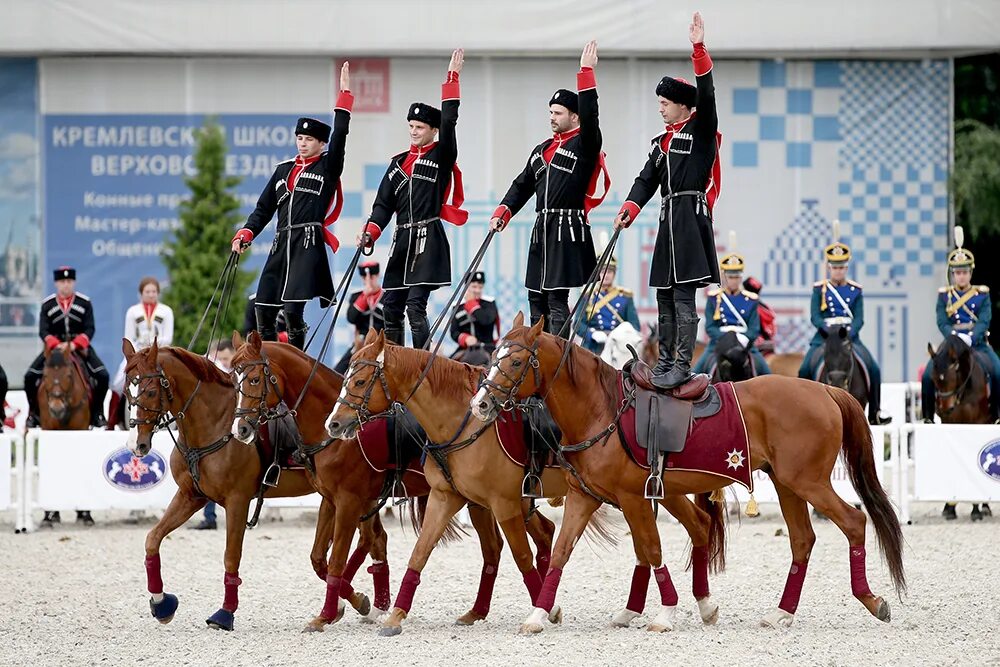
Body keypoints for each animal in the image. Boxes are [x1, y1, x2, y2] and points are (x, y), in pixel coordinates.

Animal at [121, 342, 376, 636]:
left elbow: (231, 556)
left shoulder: (237, 501)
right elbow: (153, 539)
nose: (136, 445)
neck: (215, 424)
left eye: (151, 391)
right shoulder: (191, 496)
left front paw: (225, 613)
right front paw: (161, 603)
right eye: (127, 391)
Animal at [229, 332, 556, 636]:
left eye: (255, 379)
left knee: (534, 536)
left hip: (504, 499)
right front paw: (353, 605)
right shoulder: (332, 500)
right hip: (486, 501)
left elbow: (337, 560)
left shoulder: (350, 502)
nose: (240, 428)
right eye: (234, 382)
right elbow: (320, 558)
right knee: (512, 542)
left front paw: (338, 610)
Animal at [328, 332, 728, 636]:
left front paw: (546, 610)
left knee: (680, 531)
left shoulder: (503, 503)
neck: (461, 420)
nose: (333, 424)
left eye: (359, 381)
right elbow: (419, 553)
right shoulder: (449, 498)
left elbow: (521, 557)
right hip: (658, 489)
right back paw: (693, 605)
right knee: (694, 525)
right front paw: (395, 615)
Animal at [472, 316, 904, 636]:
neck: (601, 409)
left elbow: (652, 549)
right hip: (788, 485)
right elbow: (561, 552)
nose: (480, 404)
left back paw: (871, 600)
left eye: (515, 362)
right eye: (493, 354)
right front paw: (538, 614)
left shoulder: (633, 498)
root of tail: (826, 390)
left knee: (854, 522)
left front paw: (665, 613)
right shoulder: (585, 497)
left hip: (809, 482)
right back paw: (781, 612)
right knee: (801, 540)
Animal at [928, 336, 992, 520]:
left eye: (951, 377)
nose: (944, 409)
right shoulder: (948, 423)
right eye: (933, 378)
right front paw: (949, 507)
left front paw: (976, 509)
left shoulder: (977, 424)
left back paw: (985, 507)